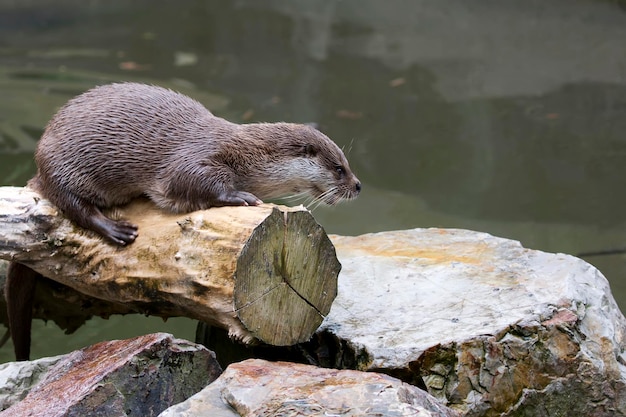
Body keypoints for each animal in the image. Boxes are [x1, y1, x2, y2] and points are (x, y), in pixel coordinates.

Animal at [4, 83, 358, 360]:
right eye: (339, 168)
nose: (357, 186)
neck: (250, 157)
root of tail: (40, 167)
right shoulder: (194, 158)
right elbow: (192, 181)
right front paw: (240, 197)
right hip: (65, 168)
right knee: (73, 206)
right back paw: (116, 230)